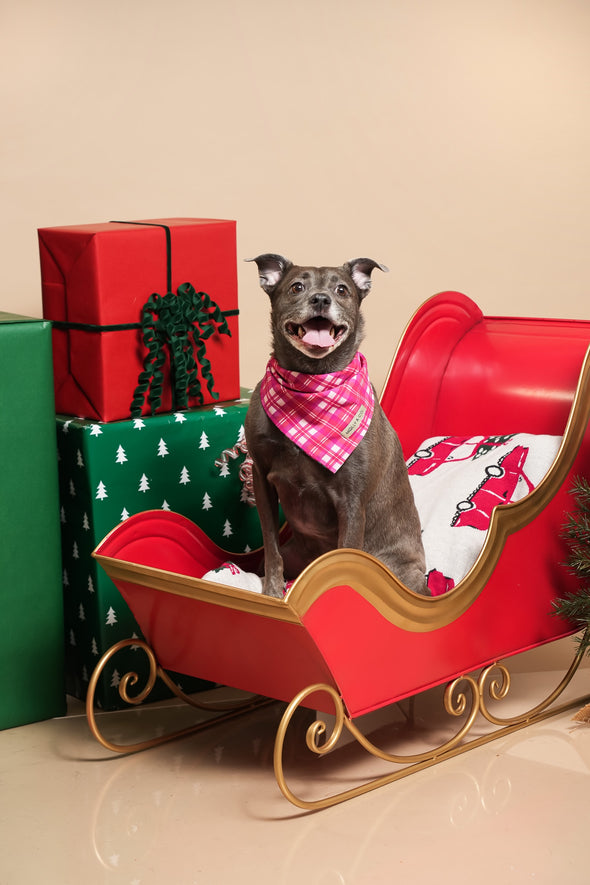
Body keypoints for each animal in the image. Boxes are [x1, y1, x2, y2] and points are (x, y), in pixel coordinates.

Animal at [243, 256, 428, 600]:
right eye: (296, 287)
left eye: (342, 289)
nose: (320, 299)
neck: (312, 381)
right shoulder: (261, 479)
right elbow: (270, 548)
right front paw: (273, 593)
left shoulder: (352, 500)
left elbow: (345, 559)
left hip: (404, 575)